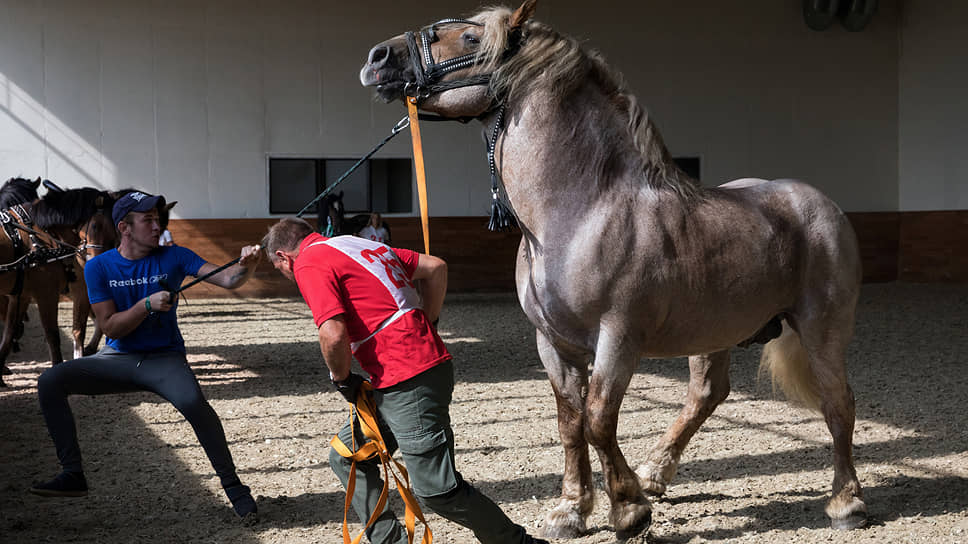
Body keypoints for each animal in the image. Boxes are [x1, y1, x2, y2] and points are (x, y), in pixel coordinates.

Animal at [364, 1, 868, 540]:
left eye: (470, 37)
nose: (377, 58)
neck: (581, 213)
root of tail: (819, 203)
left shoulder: (618, 337)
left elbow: (599, 420)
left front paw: (627, 511)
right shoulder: (553, 343)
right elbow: (570, 423)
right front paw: (571, 510)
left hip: (821, 327)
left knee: (838, 402)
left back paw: (846, 503)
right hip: (714, 334)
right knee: (706, 395)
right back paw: (654, 473)